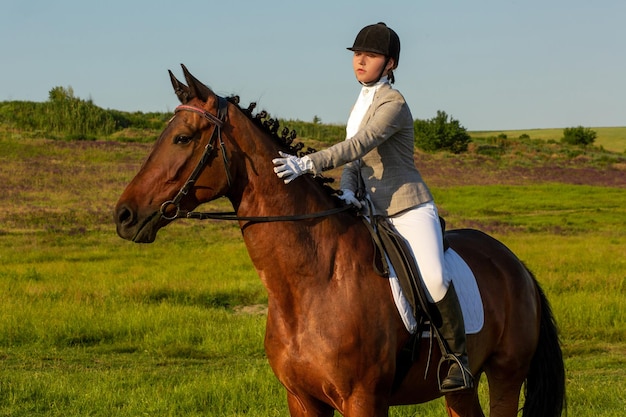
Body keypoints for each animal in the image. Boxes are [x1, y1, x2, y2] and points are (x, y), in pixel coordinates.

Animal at [113, 65, 564, 416]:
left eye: (183, 138)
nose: (123, 216)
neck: (312, 282)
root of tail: (515, 264)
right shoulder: (302, 400)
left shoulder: (363, 400)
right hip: (461, 391)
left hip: (506, 375)